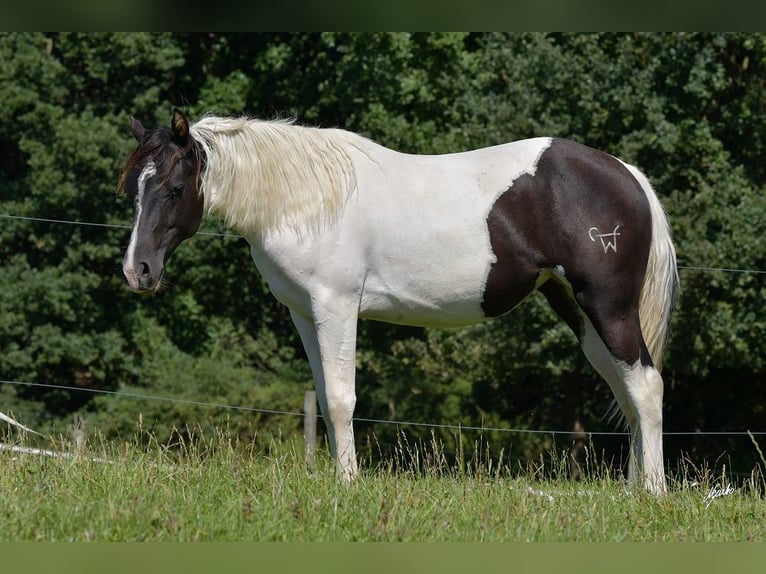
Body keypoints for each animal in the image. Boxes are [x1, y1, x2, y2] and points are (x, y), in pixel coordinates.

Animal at [120, 109, 680, 496]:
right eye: (134, 190)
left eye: (174, 188)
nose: (137, 271)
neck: (307, 200)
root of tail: (626, 174)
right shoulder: (304, 314)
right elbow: (324, 396)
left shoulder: (337, 307)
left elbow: (342, 399)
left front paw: (348, 484)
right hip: (579, 313)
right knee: (627, 390)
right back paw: (634, 488)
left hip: (608, 308)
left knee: (646, 386)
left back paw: (653, 492)